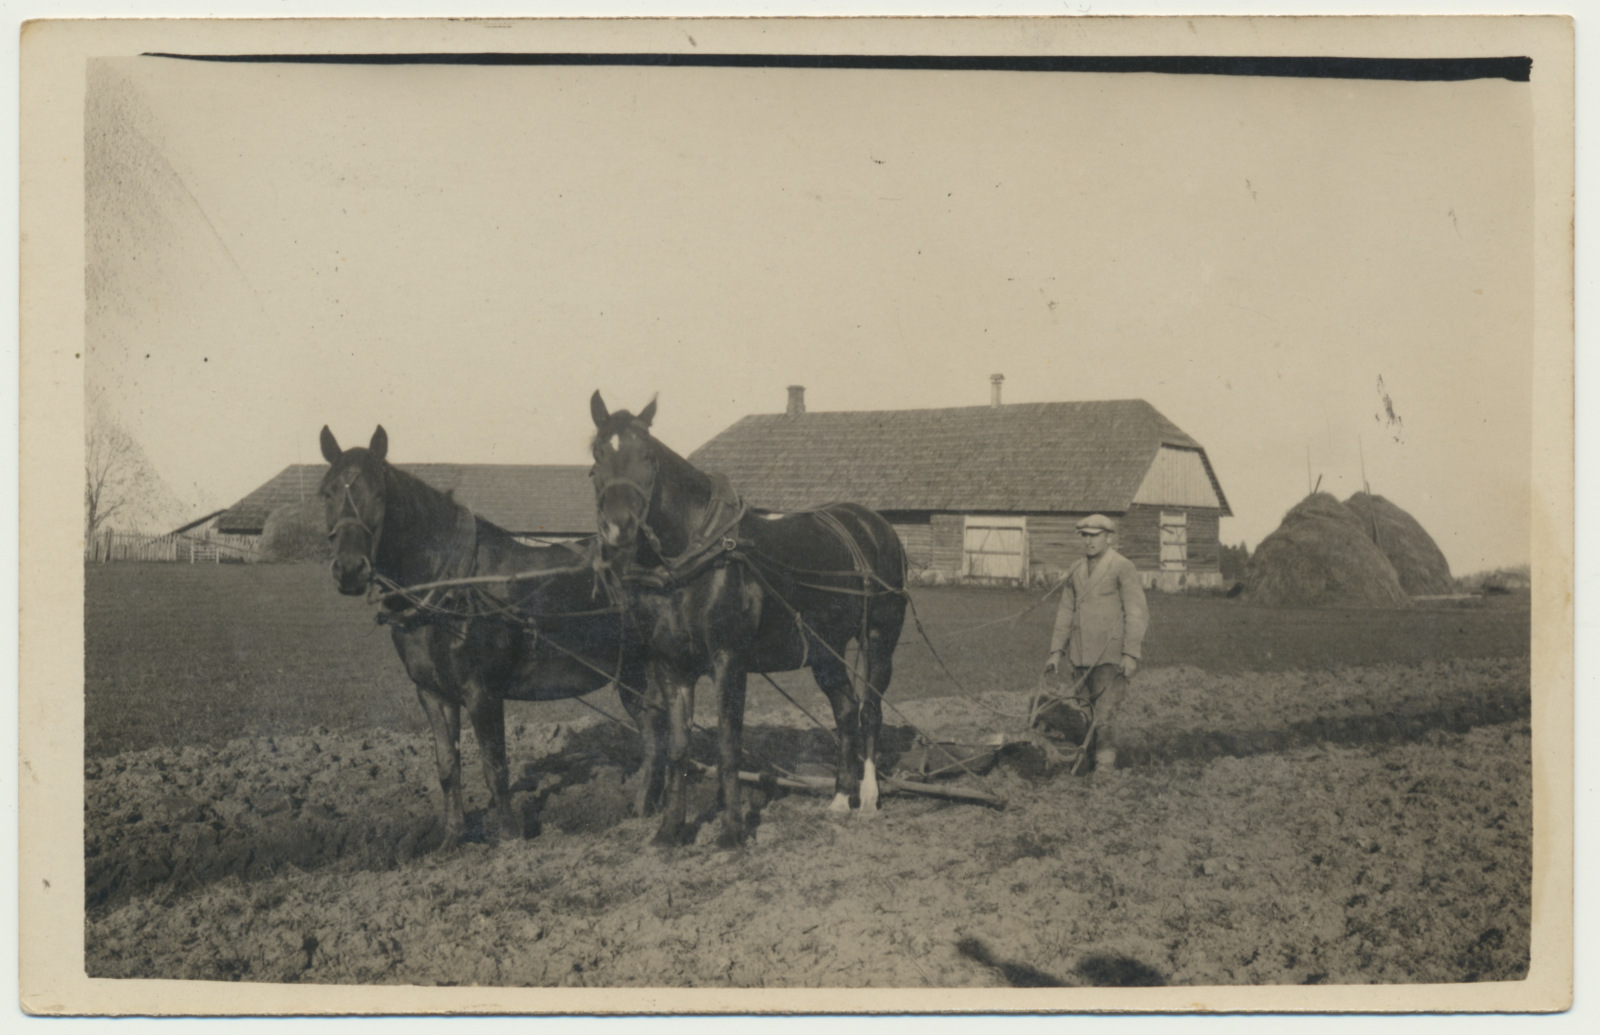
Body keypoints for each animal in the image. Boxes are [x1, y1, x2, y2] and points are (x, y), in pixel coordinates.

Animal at [318, 425, 649, 844]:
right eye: (327, 492)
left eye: (379, 493)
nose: (349, 570)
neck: (451, 584)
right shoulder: (433, 693)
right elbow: (448, 766)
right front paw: (454, 836)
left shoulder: (483, 692)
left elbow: (495, 767)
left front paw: (509, 837)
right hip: (635, 676)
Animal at [592, 393, 915, 844]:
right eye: (597, 455)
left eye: (648, 457)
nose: (619, 527)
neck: (695, 553)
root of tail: (874, 524)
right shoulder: (672, 665)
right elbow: (678, 747)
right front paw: (670, 829)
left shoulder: (729, 660)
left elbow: (729, 745)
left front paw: (732, 831)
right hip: (825, 649)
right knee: (846, 711)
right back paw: (839, 797)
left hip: (878, 638)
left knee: (870, 711)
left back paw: (867, 798)